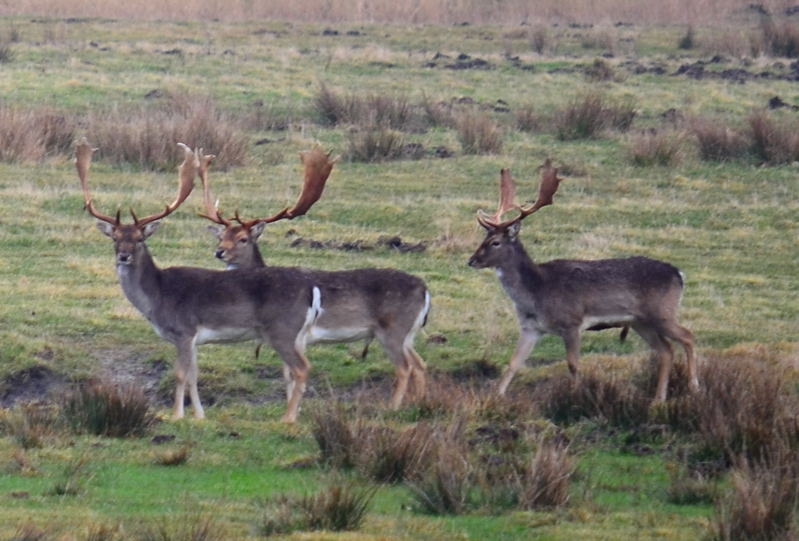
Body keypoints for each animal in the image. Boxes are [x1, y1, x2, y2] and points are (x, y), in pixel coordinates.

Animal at [76, 138, 322, 422]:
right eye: (115, 238)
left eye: (139, 238)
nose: (124, 256)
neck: (157, 298)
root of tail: (311, 290)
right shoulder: (192, 338)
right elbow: (194, 375)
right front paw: (199, 416)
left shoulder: (184, 329)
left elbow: (180, 374)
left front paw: (176, 416)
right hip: (298, 334)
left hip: (283, 329)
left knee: (301, 368)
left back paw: (288, 418)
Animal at [198, 148, 432, 404]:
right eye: (221, 237)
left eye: (243, 239)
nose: (219, 252)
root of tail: (424, 289)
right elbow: (288, 374)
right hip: (409, 333)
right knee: (420, 364)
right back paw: (418, 402)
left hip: (393, 328)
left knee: (405, 367)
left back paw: (393, 406)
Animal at [466, 160, 696, 400]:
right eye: (484, 238)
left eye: (495, 242)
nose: (471, 260)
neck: (536, 294)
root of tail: (678, 274)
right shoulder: (530, 328)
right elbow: (513, 363)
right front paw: (495, 396)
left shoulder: (572, 323)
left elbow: (573, 365)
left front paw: (577, 395)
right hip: (640, 321)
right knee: (666, 350)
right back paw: (658, 398)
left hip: (662, 312)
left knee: (688, 337)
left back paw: (693, 386)